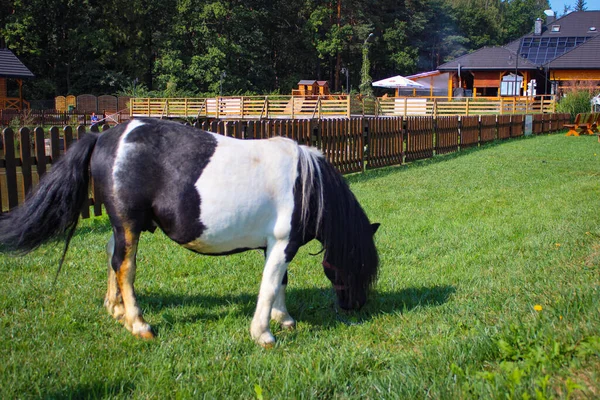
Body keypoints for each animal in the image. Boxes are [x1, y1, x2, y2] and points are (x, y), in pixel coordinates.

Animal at [0, 117, 378, 346]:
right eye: (360, 265)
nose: (356, 306)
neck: (307, 185)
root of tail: (105, 135)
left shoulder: (275, 247)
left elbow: (280, 283)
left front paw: (283, 318)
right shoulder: (283, 244)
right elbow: (269, 287)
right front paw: (263, 333)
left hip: (122, 225)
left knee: (111, 256)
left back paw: (115, 308)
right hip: (129, 224)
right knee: (125, 266)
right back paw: (138, 323)